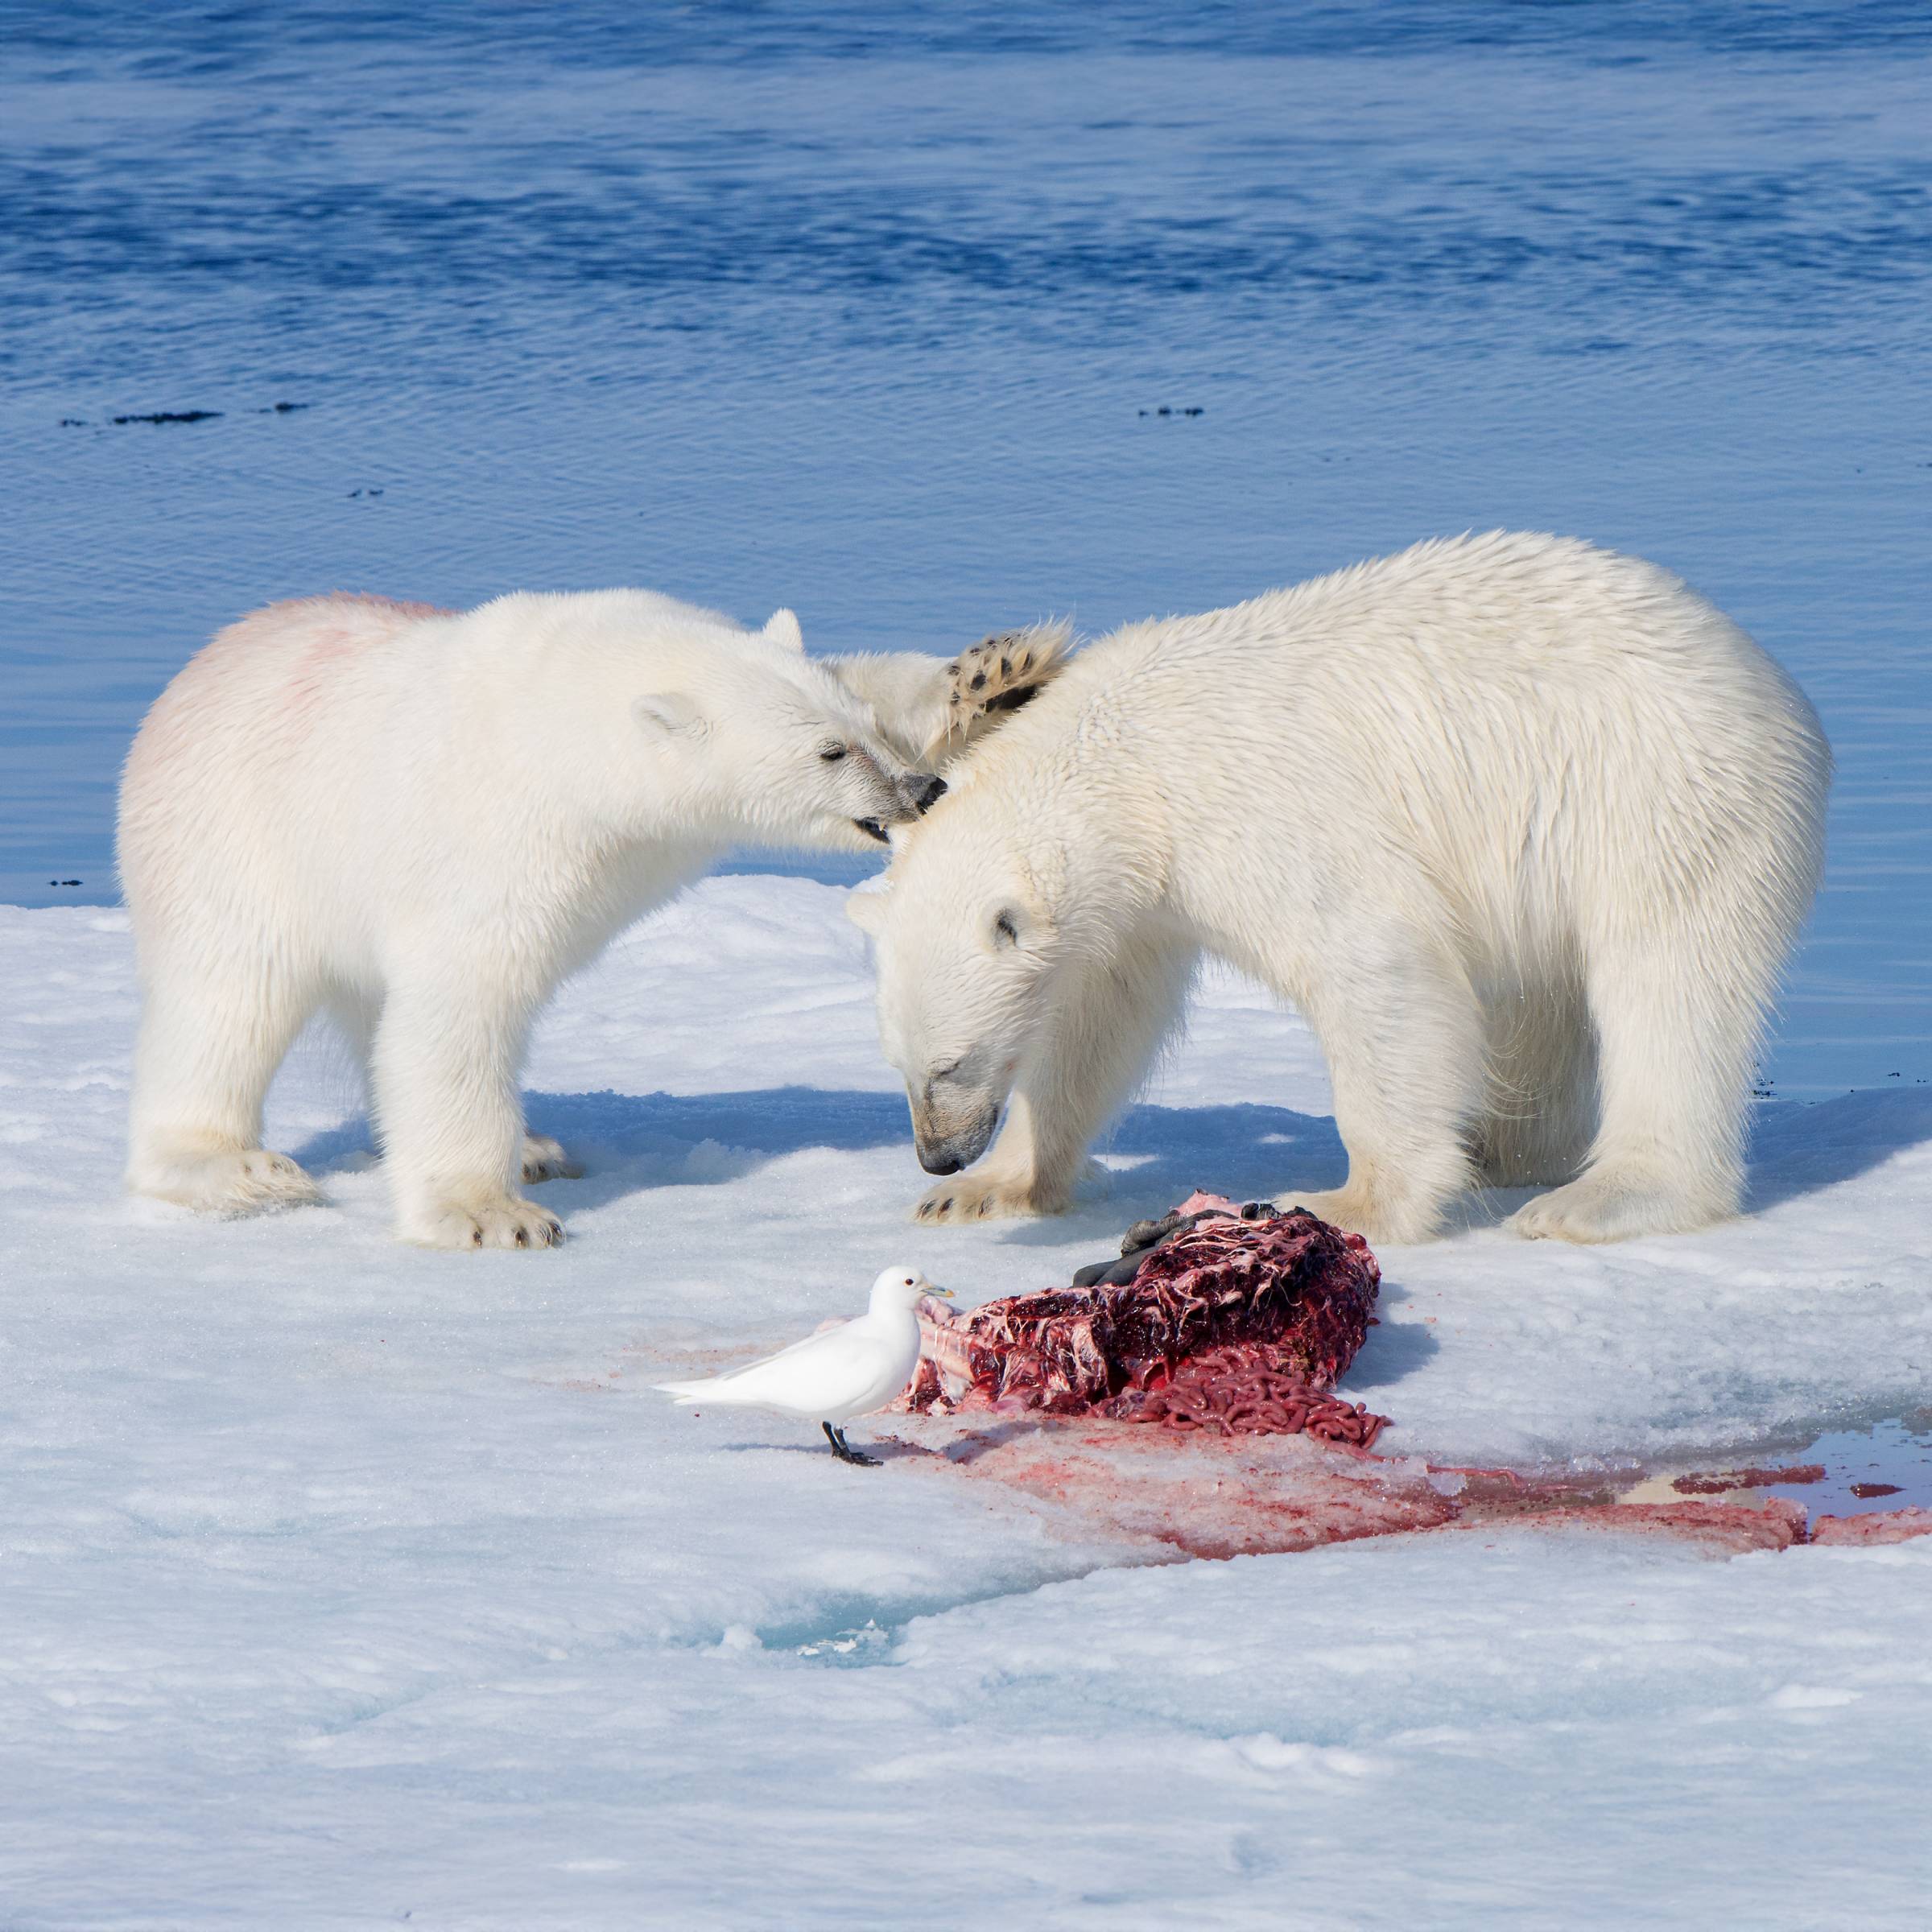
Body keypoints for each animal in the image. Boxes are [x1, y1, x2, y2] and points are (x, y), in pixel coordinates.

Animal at [119, 588, 1068, 1248]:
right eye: (829, 752)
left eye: (864, 727)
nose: (919, 790)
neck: (561, 724)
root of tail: (189, 678)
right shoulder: (491, 842)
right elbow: (459, 1006)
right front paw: (489, 1213)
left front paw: (995, 678)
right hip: (235, 849)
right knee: (226, 1005)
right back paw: (233, 1166)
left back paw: (536, 1143)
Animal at [848, 532, 1831, 1246]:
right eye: (897, 1065)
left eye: (952, 1063)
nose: (937, 1156)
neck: (1119, 766)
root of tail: (1767, 674)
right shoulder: (1140, 899)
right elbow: (1101, 1015)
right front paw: (993, 1188)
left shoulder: (1254, 817)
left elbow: (1376, 965)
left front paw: (1347, 1201)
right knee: (1535, 1002)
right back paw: (1506, 1147)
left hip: (1660, 792)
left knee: (1666, 985)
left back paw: (1598, 1197)